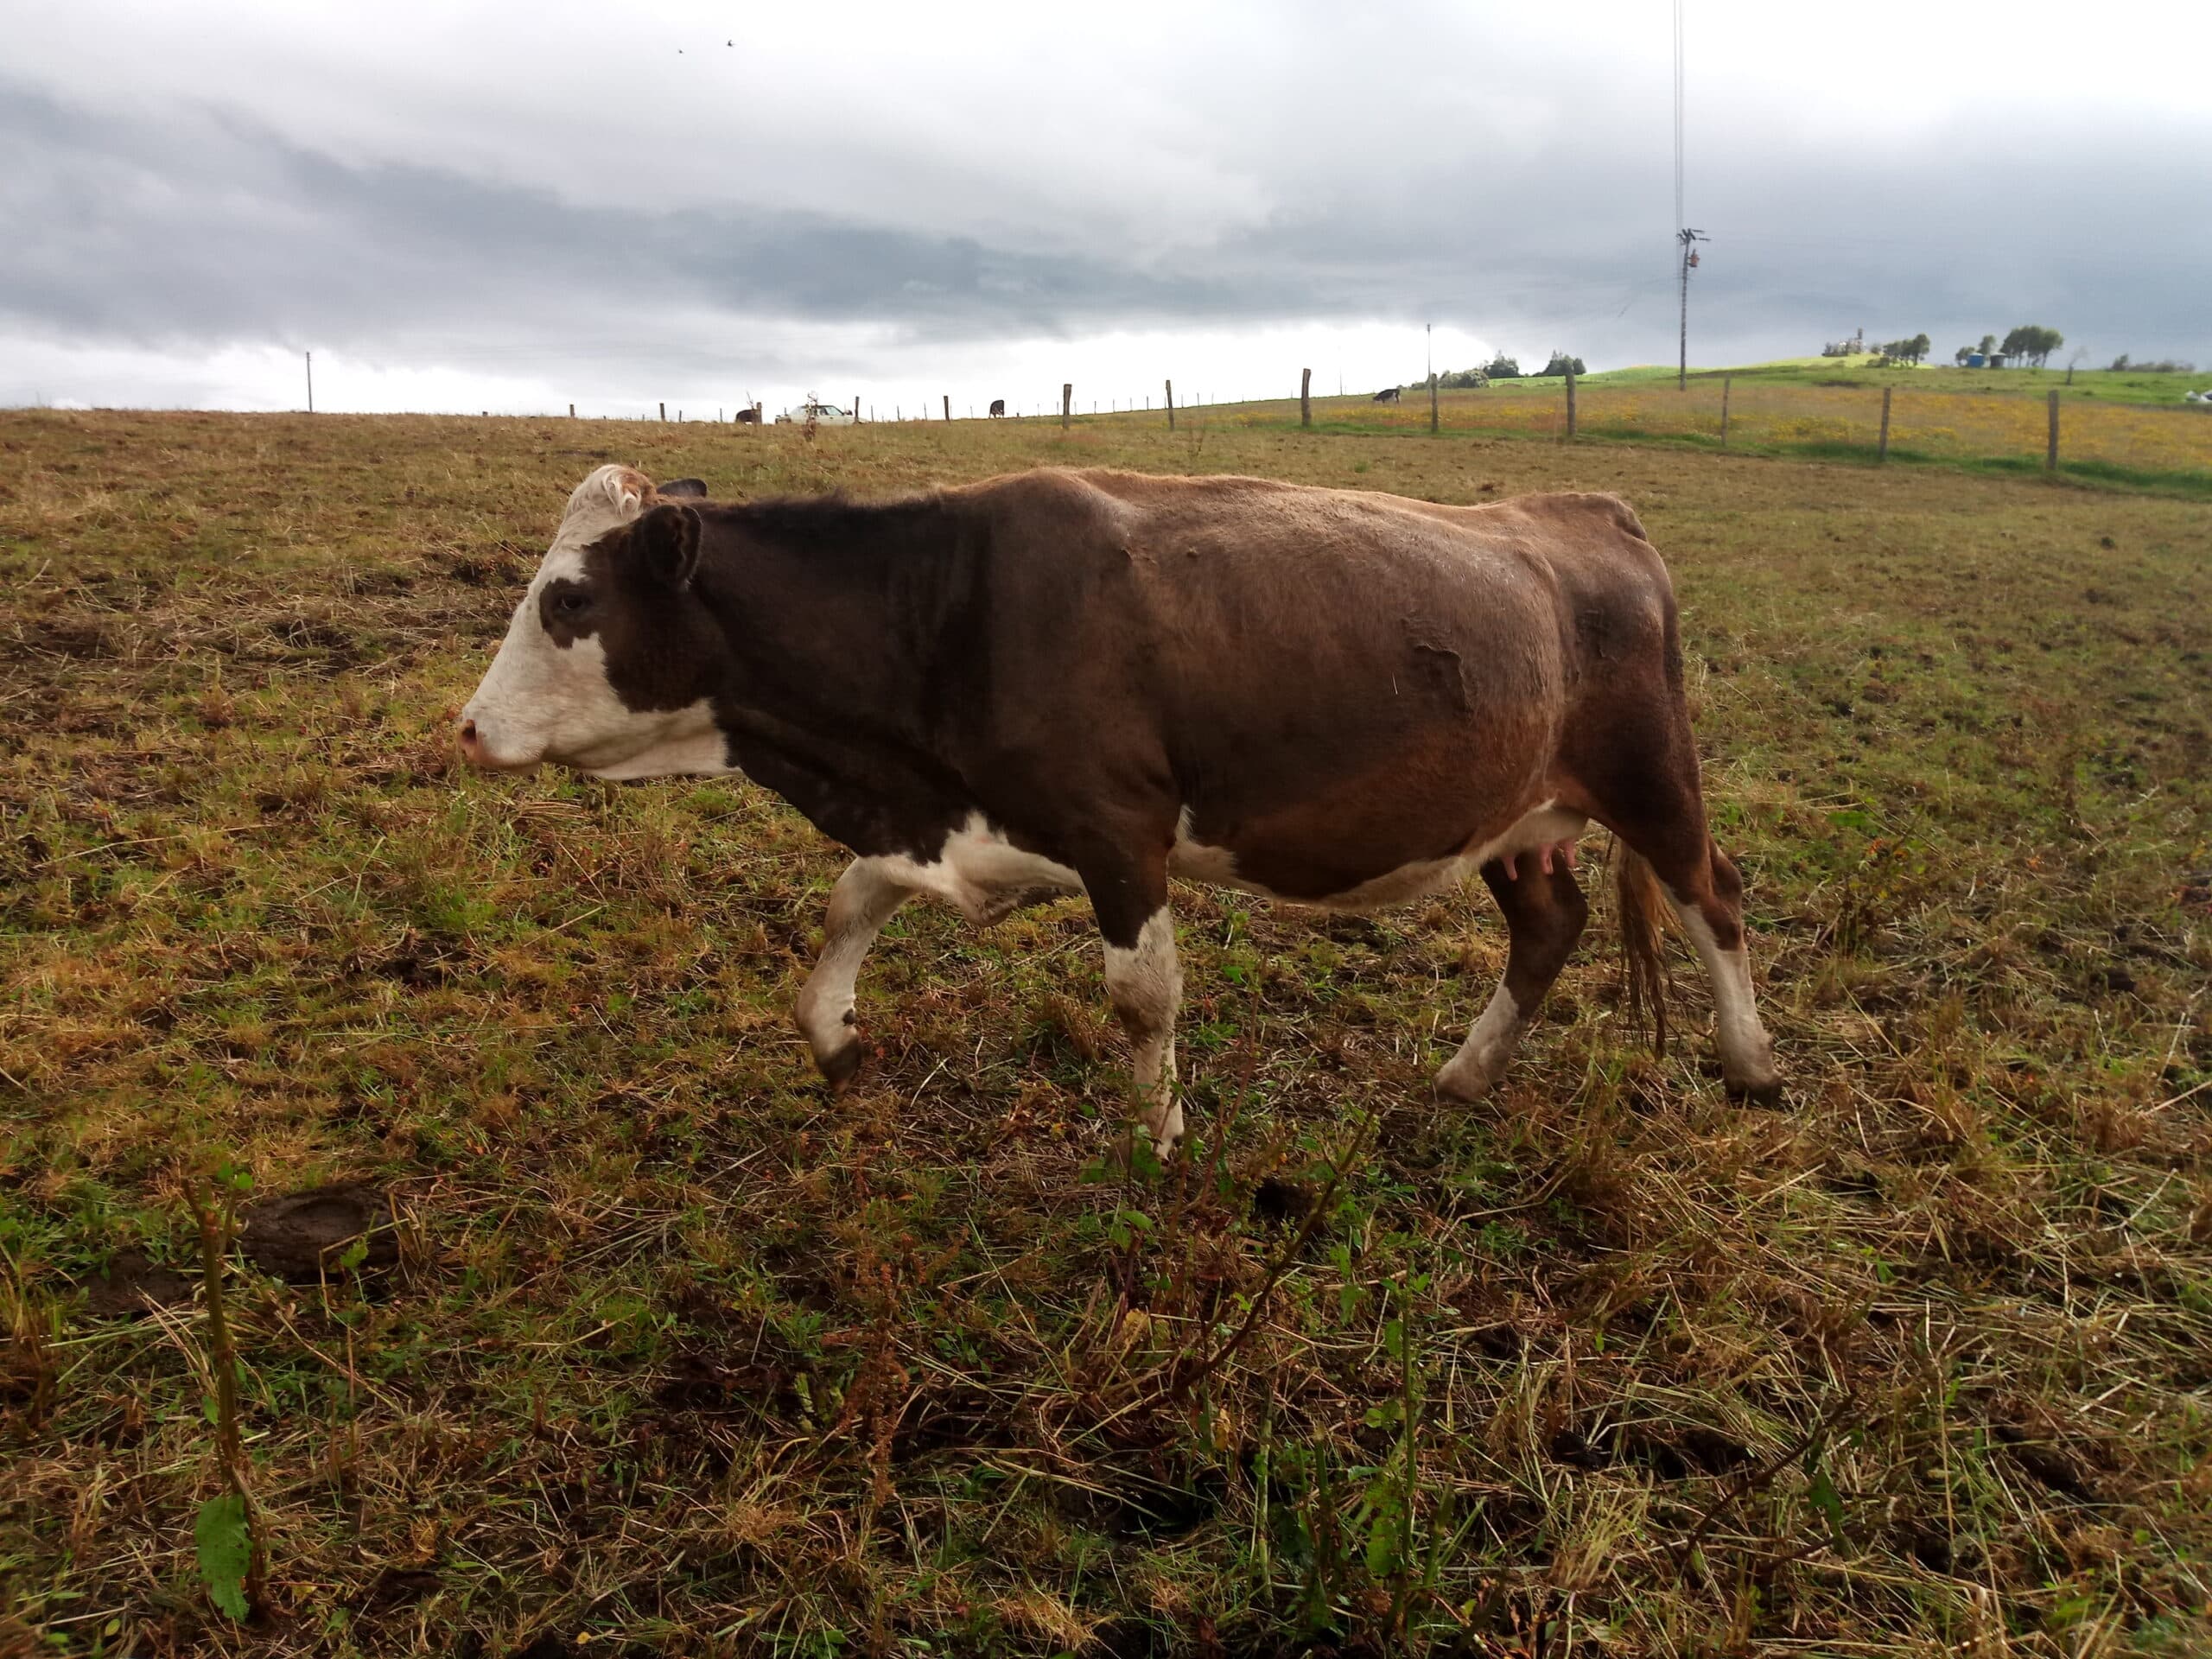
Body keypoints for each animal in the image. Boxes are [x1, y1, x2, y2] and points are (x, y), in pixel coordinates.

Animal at [458, 464, 1782, 1155]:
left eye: (569, 599)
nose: (466, 729)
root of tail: (1587, 508)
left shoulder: (1119, 833)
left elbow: (1143, 998)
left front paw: (1159, 1150)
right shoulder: (976, 822)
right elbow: (849, 903)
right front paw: (835, 1036)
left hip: (1653, 774)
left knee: (1713, 899)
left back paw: (1752, 1066)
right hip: (1509, 810)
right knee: (1549, 925)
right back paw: (1465, 1077)